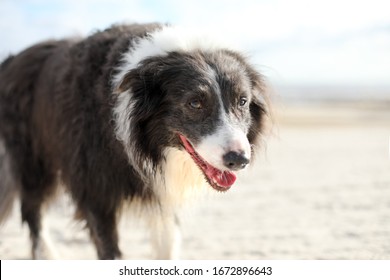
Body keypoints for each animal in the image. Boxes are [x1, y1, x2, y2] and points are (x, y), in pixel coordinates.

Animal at [0, 23, 268, 260]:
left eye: (242, 101)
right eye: (195, 103)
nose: (239, 160)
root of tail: (12, 60)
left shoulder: (162, 188)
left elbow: (168, 245)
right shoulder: (94, 187)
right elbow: (108, 247)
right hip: (33, 158)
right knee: (32, 210)